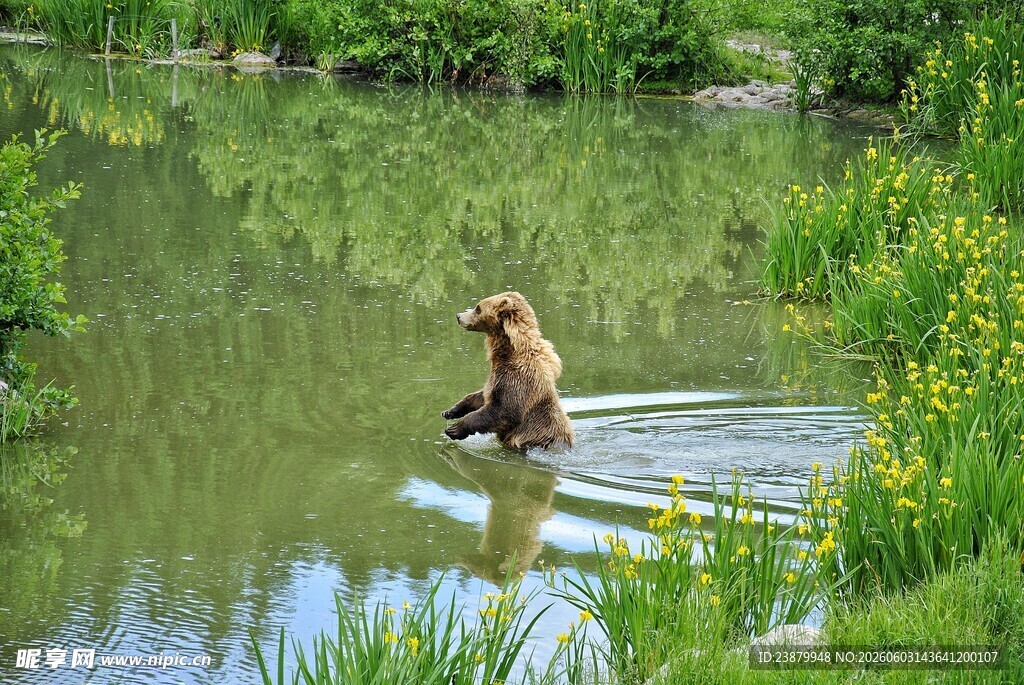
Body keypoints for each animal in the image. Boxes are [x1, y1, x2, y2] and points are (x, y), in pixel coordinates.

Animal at [442, 291, 574, 451]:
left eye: (478, 308)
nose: (459, 316)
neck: (509, 352)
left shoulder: (518, 378)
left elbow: (505, 411)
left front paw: (454, 428)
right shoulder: (496, 377)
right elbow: (483, 395)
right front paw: (450, 411)